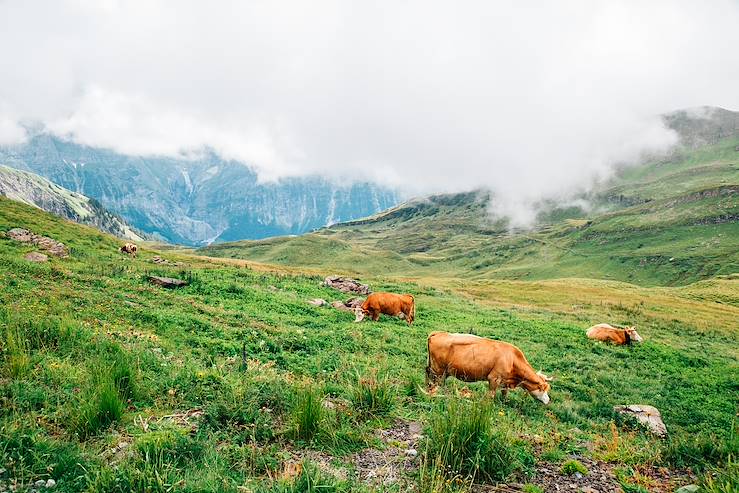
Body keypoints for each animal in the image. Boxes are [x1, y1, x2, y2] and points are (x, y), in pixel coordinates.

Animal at [424, 330, 552, 404]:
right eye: (543, 389)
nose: (548, 400)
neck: (512, 359)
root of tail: (439, 333)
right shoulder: (494, 378)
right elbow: (491, 395)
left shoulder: (505, 381)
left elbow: (504, 393)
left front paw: (505, 402)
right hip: (438, 369)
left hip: (439, 370)